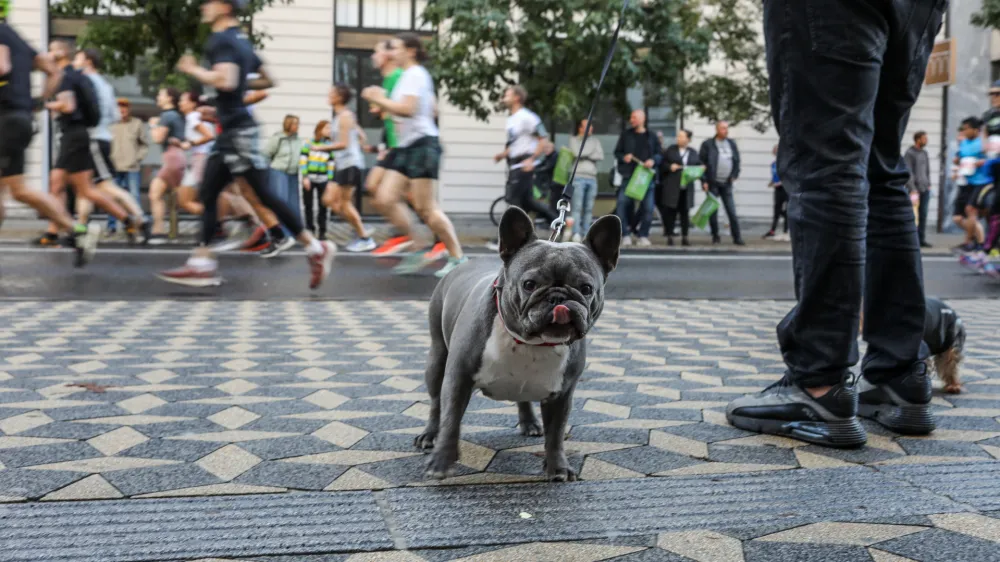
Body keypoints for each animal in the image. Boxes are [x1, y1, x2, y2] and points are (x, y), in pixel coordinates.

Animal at [412, 208, 616, 480]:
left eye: (586, 288)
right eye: (529, 284)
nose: (558, 298)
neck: (532, 342)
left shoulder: (562, 394)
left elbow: (555, 434)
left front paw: (558, 468)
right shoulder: (458, 379)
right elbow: (451, 420)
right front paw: (441, 462)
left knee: (524, 399)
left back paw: (530, 422)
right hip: (437, 359)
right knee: (436, 403)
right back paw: (429, 435)